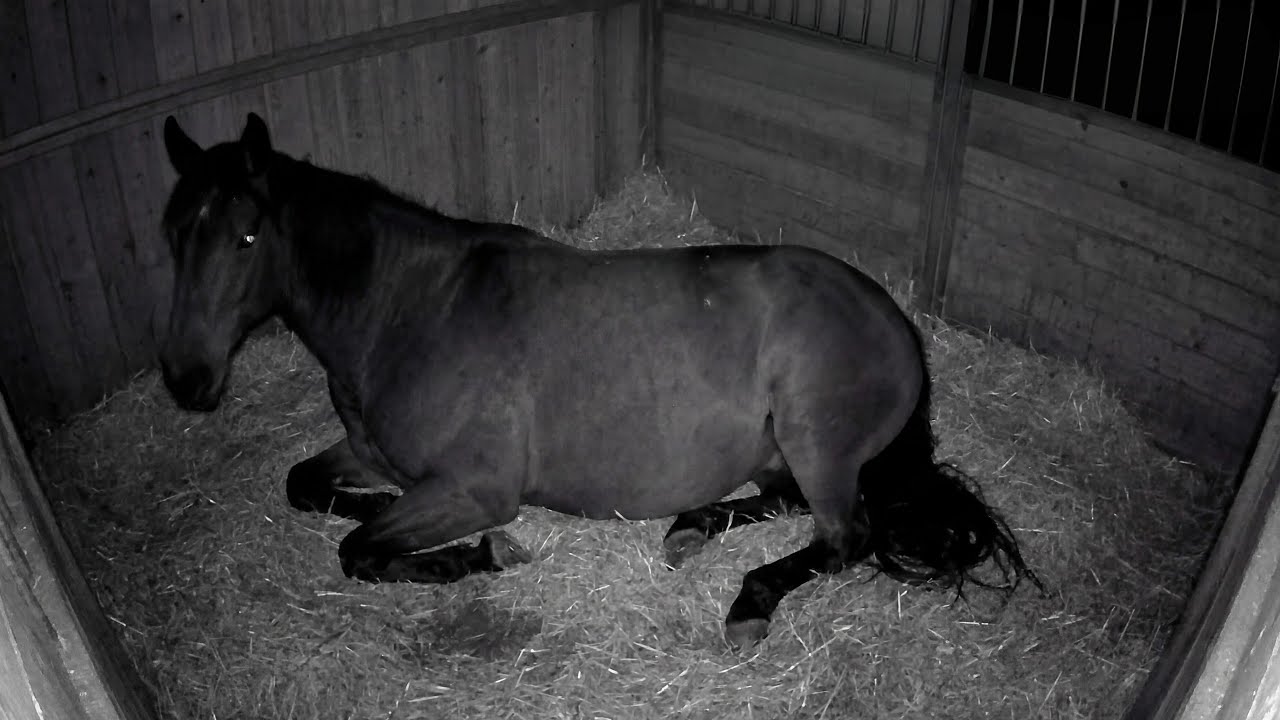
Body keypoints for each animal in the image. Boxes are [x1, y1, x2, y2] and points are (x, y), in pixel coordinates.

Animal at [157, 112, 1040, 651]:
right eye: (172, 231)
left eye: (245, 235)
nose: (187, 380)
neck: (413, 307)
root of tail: (896, 323)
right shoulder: (371, 455)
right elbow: (306, 488)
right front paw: (368, 509)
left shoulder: (475, 490)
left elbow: (361, 551)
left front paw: (477, 557)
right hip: (782, 452)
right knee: (788, 503)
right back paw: (691, 528)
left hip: (814, 441)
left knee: (843, 536)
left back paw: (749, 600)